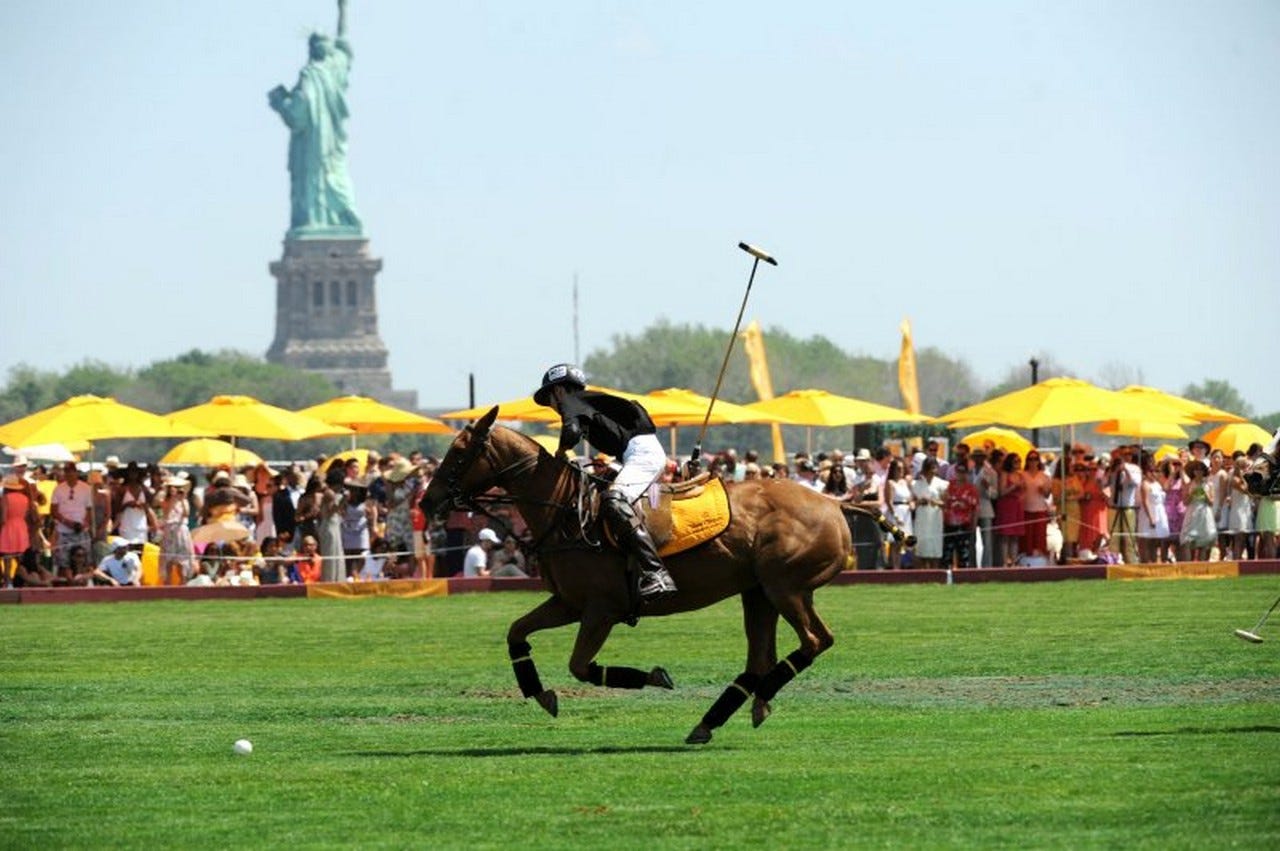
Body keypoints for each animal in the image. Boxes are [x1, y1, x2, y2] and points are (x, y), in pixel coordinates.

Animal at [419, 406, 855, 742]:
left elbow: (581, 667)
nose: (427, 501)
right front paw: (541, 695)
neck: (565, 510)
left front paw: (656, 677)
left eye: (459, 453)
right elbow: (517, 633)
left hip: (786, 587)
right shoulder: (568, 603)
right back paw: (716, 719)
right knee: (761, 658)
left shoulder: (601, 610)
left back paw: (756, 698)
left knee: (815, 640)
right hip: (758, 591)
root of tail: (834, 504)